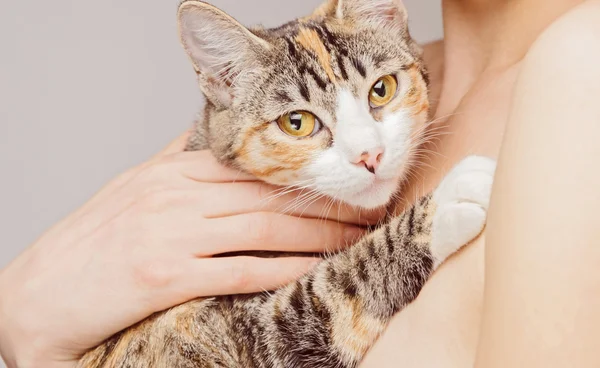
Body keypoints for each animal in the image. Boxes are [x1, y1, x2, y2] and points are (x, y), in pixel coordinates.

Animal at [78, 0, 496, 366]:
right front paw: (448, 201)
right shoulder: (237, 335)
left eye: (382, 88)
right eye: (296, 122)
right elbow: (328, 294)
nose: (370, 155)